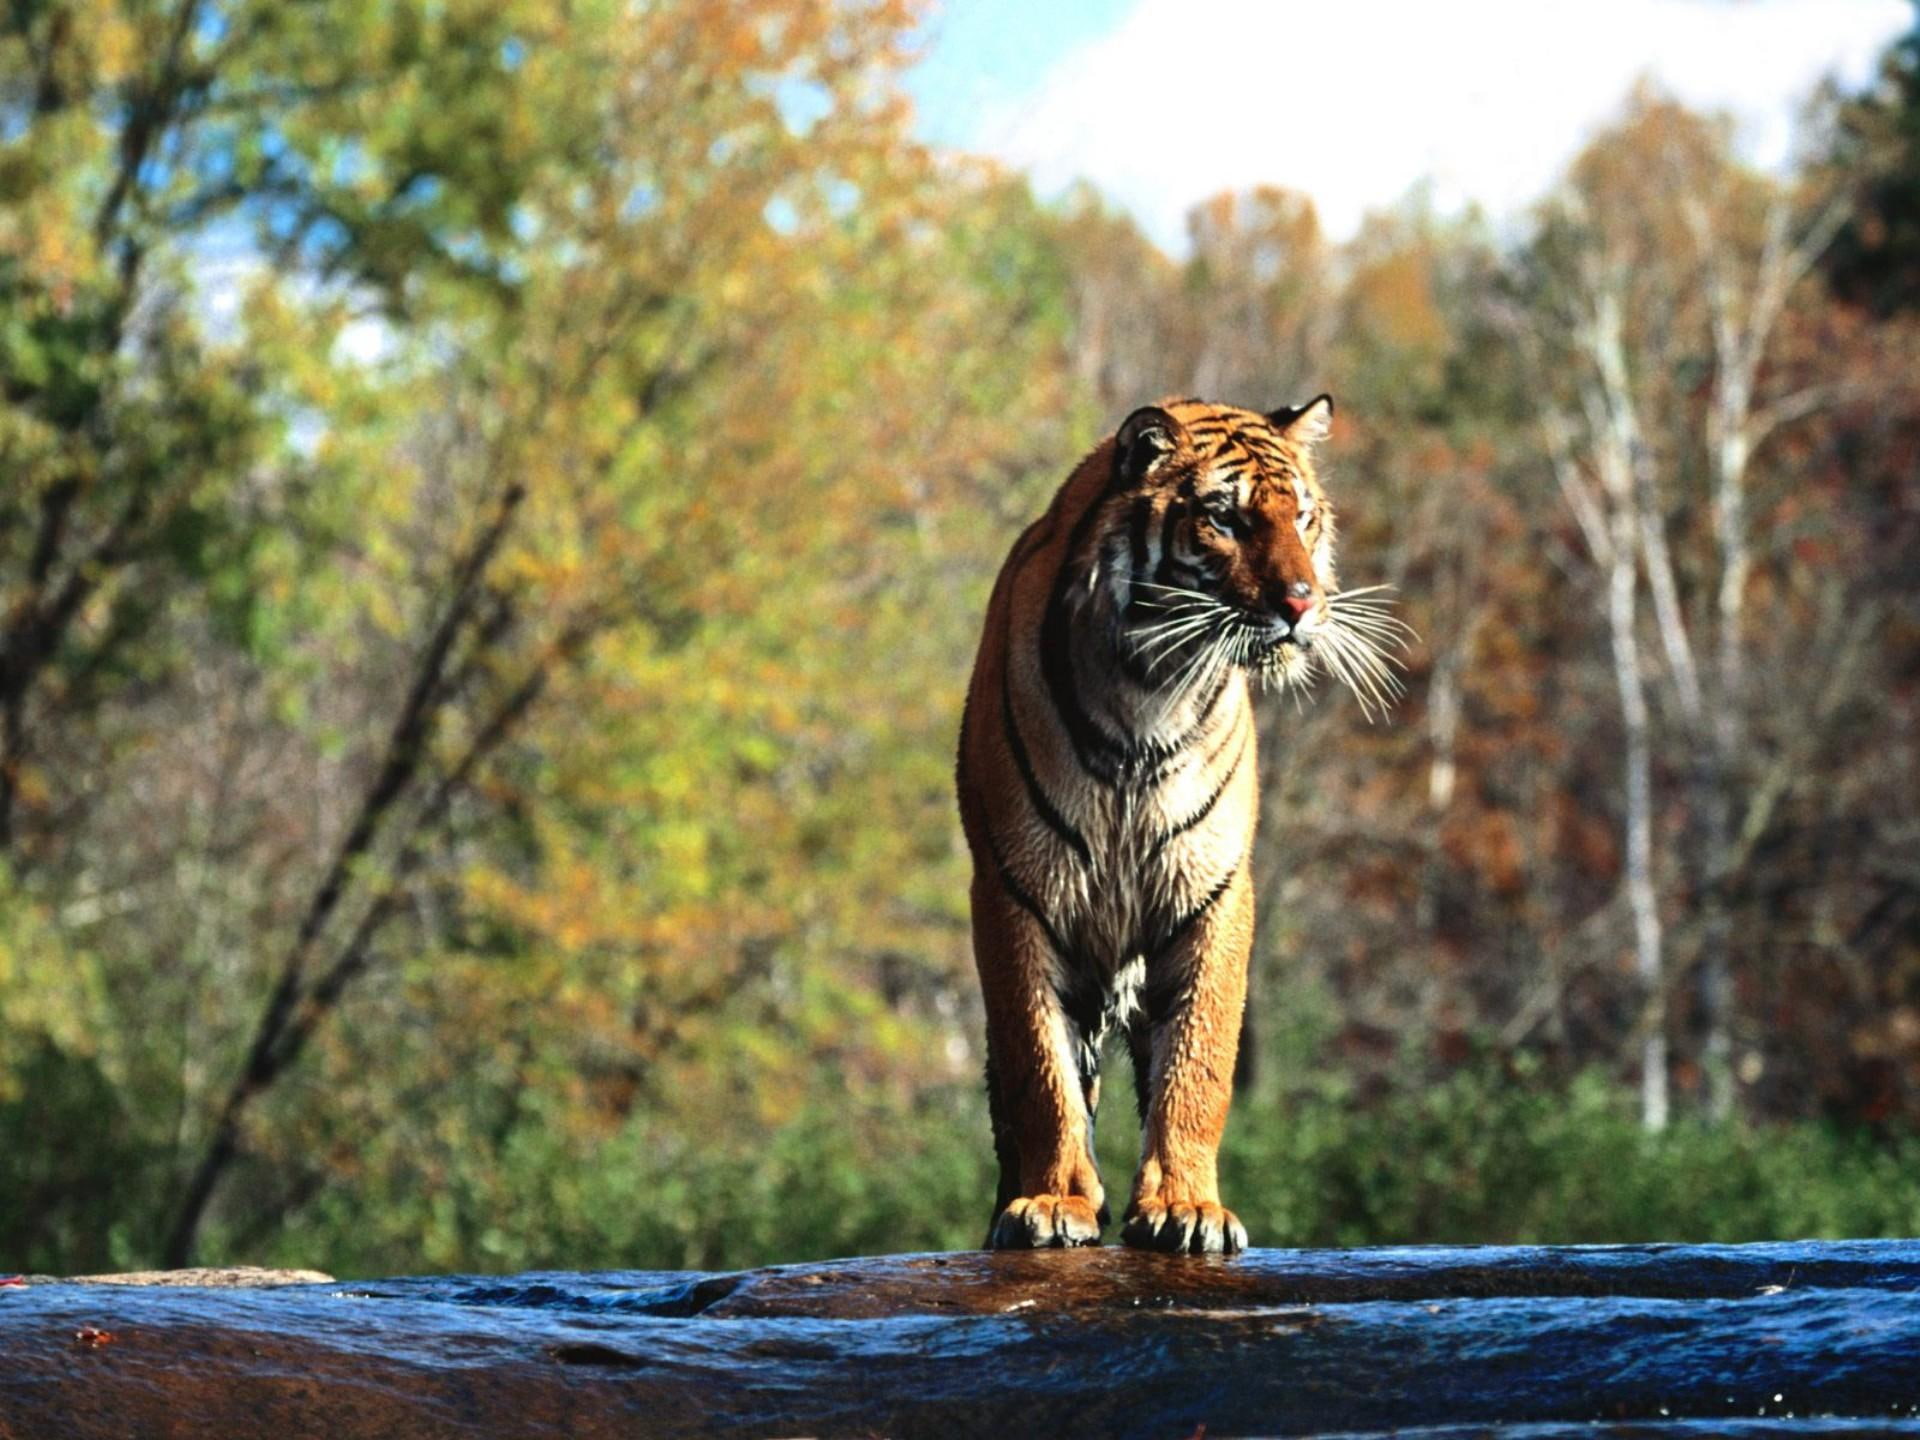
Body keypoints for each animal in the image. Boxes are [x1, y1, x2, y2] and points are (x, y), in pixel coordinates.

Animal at [955, 394, 1406, 1253]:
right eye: (1225, 519)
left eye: (1303, 517)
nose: (1303, 603)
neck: (1148, 690)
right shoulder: (1015, 891)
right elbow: (1041, 1068)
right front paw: (1053, 1203)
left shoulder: (1215, 892)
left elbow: (1199, 1062)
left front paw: (1185, 1207)